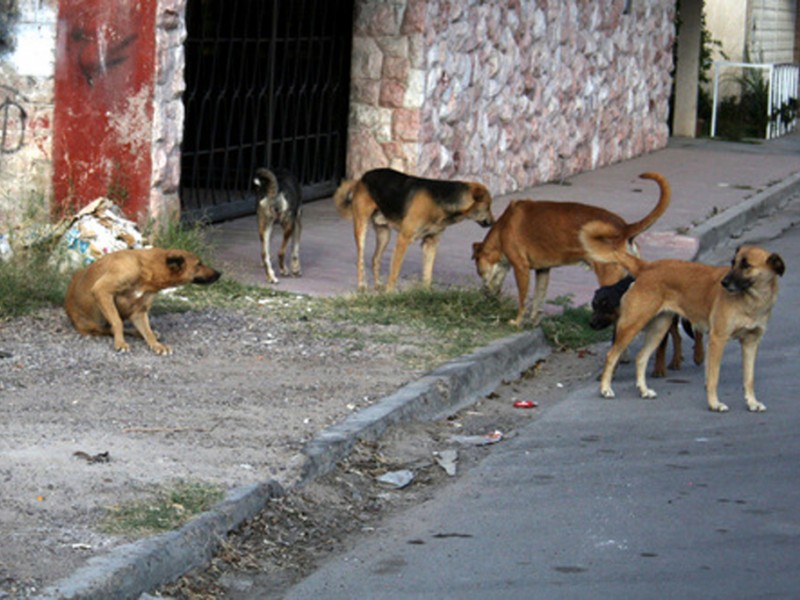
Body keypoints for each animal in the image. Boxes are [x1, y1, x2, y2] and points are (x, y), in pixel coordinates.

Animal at [65, 247, 222, 354]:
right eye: (198, 264)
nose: (220, 273)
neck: (144, 268)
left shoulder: (139, 312)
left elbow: (148, 332)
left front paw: (156, 345)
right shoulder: (102, 291)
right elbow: (117, 323)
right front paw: (120, 343)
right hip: (94, 324)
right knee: (110, 328)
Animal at [332, 168, 494, 292]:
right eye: (487, 207)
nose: (493, 222)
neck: (441, 201)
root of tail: (363, 177)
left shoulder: (431, 243)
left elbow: (428, 273)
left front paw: (426, 294)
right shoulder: (403, 239)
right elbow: (395, 271)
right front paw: (389, 293)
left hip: (384, 234)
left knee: (375, 258)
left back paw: (377, 285)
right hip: (361, 228)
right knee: (360, 260)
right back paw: (362, 286)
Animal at [472, 171, 672, 326]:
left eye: (479, 271)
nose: (484, 294)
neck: (502, 229)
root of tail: (624, 228)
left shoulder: (521, 268)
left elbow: (523, 300)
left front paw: (517, 322)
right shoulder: (543, 271)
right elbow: (537, 299)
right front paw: (533, 321)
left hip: (610, 279)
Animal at [580, 220, 784, 412]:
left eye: (746, 265)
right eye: (733, 262)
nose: (724, 283)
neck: (752, 300)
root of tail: (647, 266)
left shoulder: (751, 343)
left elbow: (749, 379)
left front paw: (752, 403)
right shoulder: (718, 340)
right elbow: (713, 377)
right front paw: (714, 404)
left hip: (659, 329)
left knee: (641, 357)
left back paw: (644, 390)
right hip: (632, 326)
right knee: (612, 355)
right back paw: (605, 389)